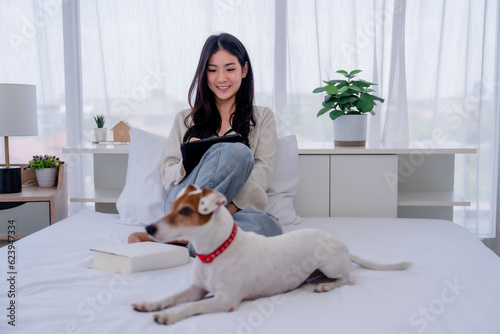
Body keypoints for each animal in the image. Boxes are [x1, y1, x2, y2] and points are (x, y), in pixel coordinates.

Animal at [132, 184, 410, 324]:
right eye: (172, 207)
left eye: (187, 211)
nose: (149, 228)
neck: (214, 252)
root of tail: (343, 244)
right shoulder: (196, 289)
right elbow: (173, 296)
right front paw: (150, 304)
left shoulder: (224, 300)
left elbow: (192, 307)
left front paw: (168, 315)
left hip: (331, 266)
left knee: (348, 279)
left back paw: (326, 286)